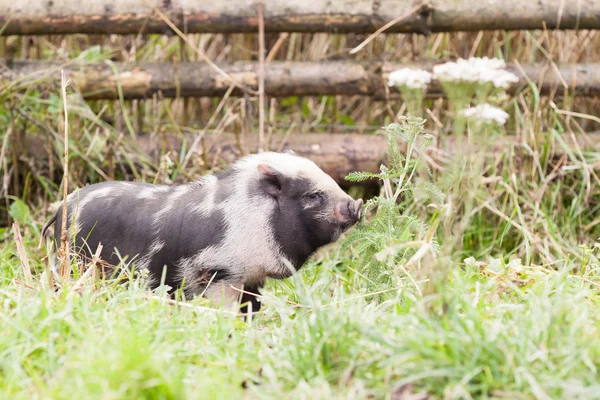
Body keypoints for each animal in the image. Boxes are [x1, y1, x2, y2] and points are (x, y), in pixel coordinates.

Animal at [42, 152, 364, 310]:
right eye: (313, 196)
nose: (357, 204)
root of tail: (60, 210)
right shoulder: (218, 273)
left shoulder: (252, 278)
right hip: (74, 264)